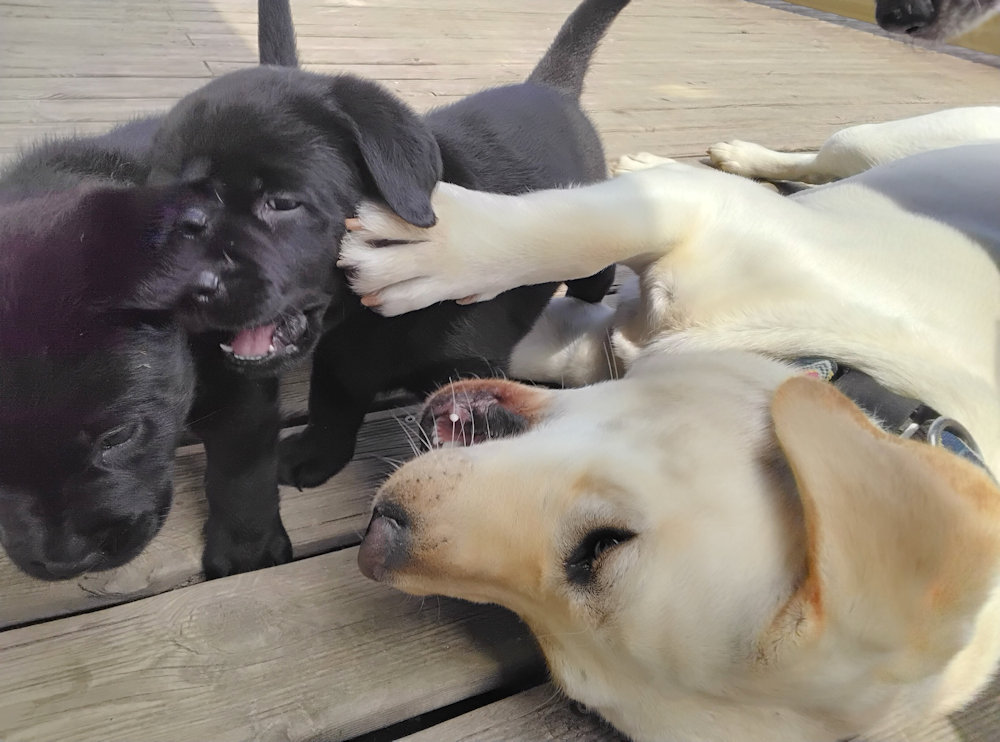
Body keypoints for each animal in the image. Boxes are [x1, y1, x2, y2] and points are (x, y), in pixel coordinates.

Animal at [142, 0, 626, 507]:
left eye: (282, 203)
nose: (180, 287)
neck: (364, 320)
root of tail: (552, 87)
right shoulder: (338, 357)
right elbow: (331, 407)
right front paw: (317, 456)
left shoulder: (464, 371)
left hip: (587, 258)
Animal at [343, 141, 1000, 740]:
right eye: (605, 542)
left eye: (569, 679)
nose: (375, 541)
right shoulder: (705, 211)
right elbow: (577, 231)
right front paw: (434, 248)